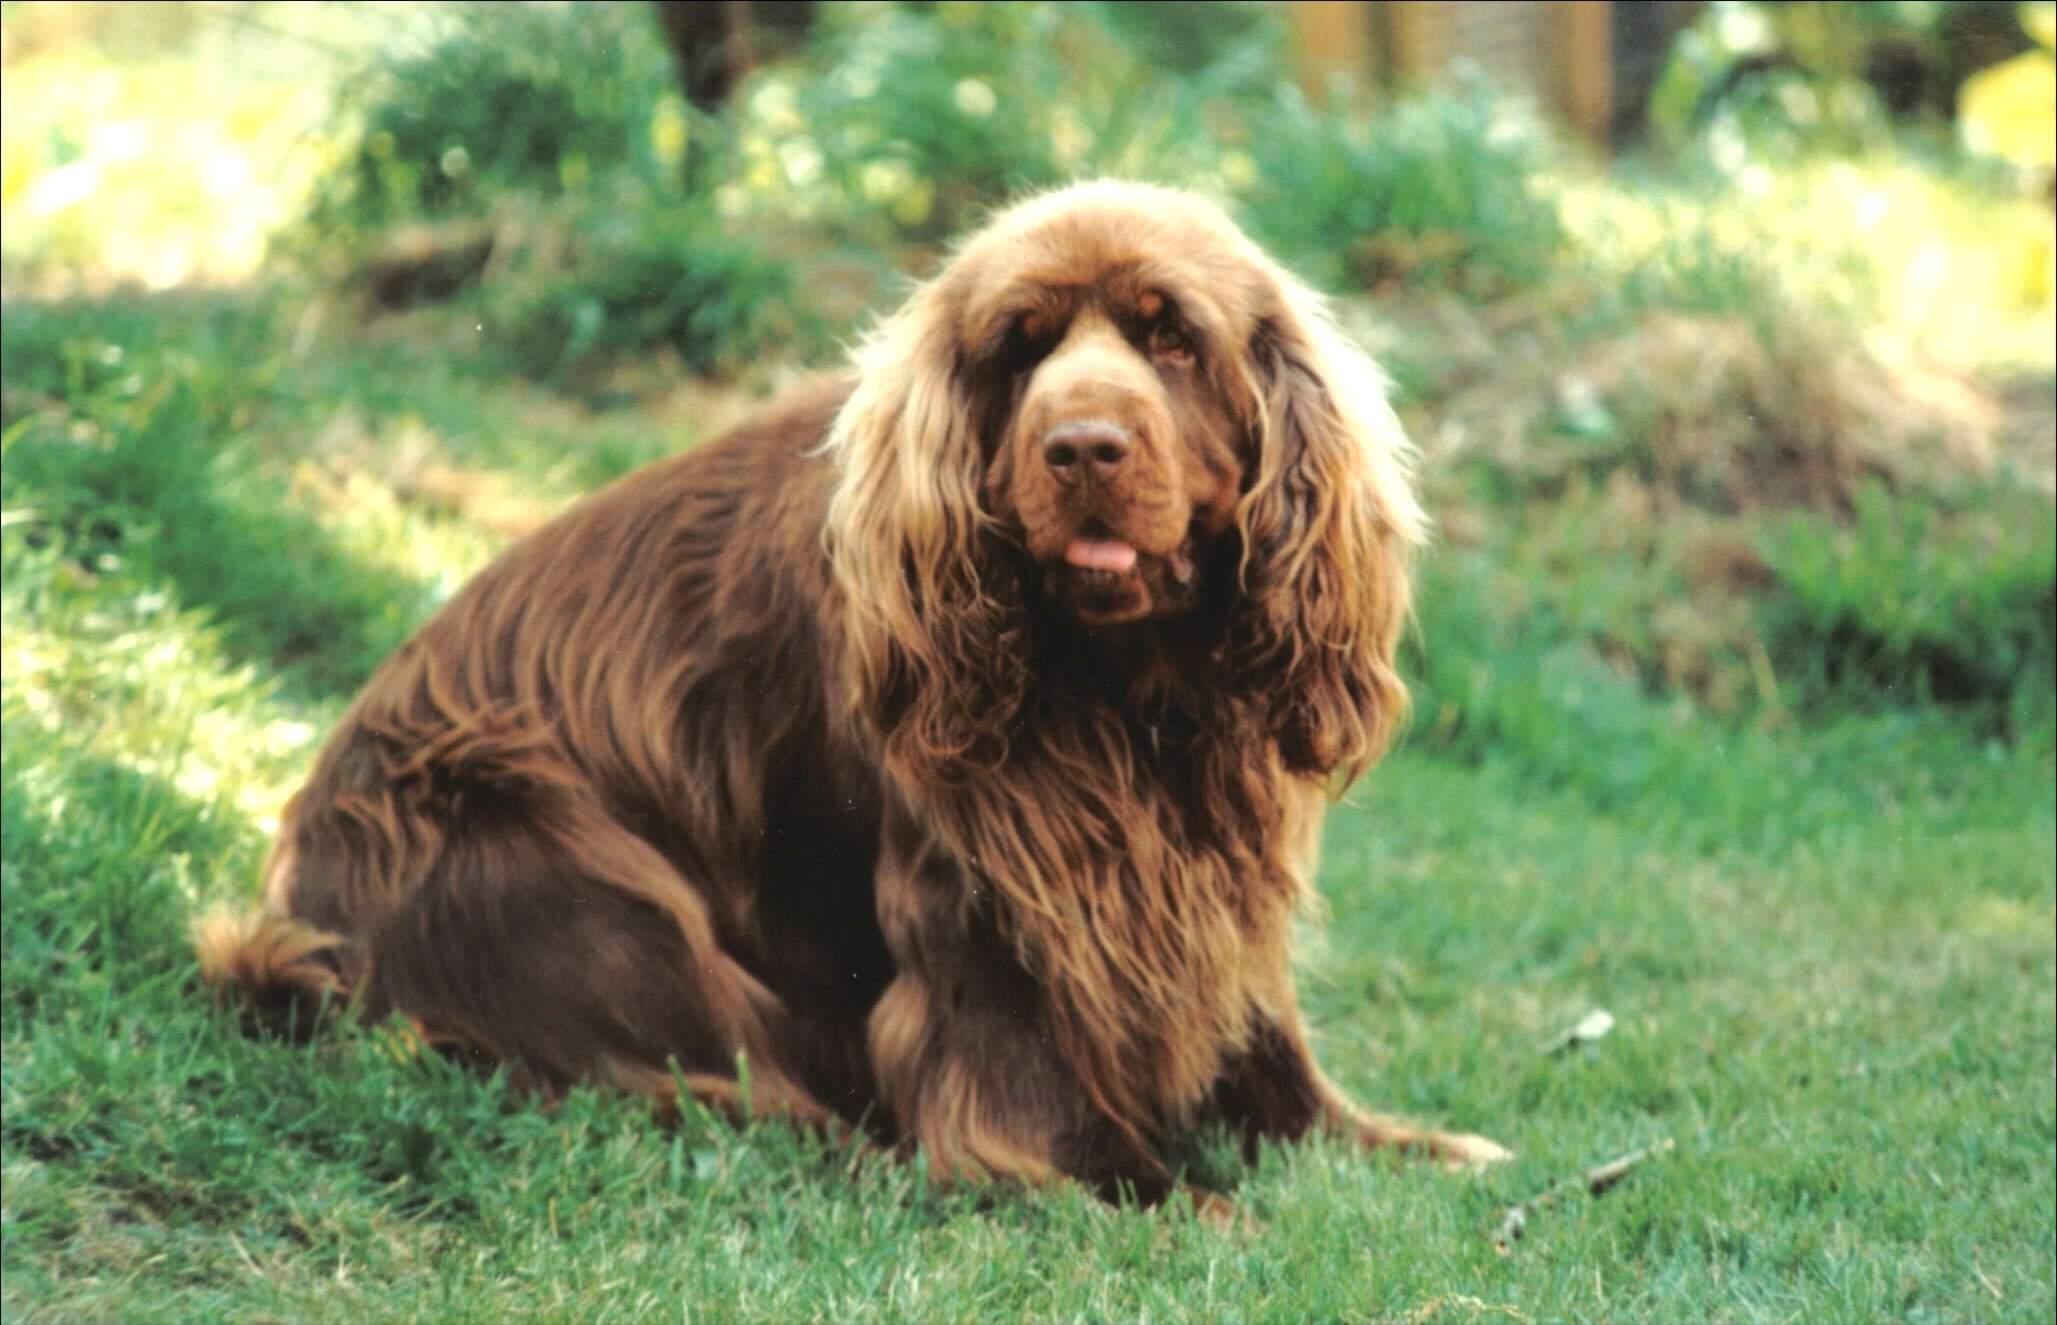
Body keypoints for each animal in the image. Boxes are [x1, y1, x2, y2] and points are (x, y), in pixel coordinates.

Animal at [196, 178, 1513, 1201]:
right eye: (1020, 346)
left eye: (1172, 338)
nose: (1081, 447)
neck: (1127, 682)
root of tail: (288, 899)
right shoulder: (993, 898)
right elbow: (1034, 1095)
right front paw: (1156, 1189)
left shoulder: (1209, 863)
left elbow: (1268, 1044)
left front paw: (1414, 1148)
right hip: (573, 881)